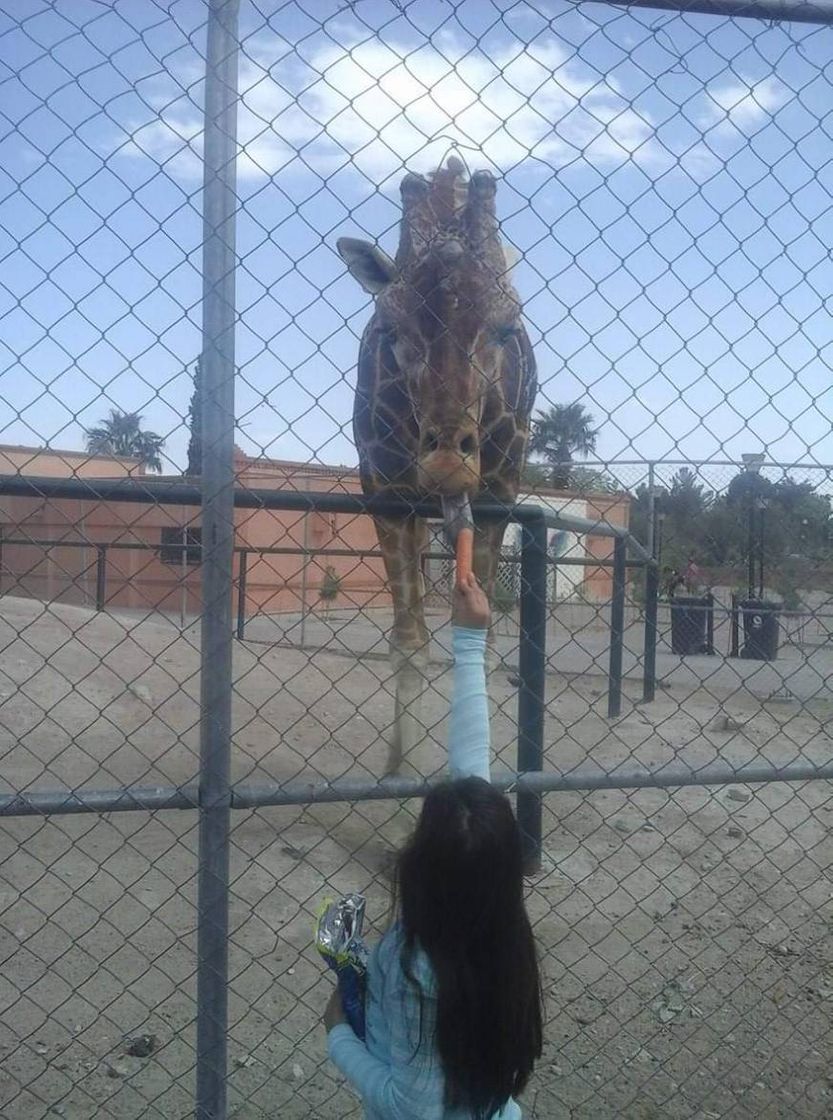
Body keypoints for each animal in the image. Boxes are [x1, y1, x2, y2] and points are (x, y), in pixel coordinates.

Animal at [340, 155, 539, 770]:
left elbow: (489, 645)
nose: (449, 462)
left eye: (507, 327)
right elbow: (409, 646)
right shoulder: (386, 494)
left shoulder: (498, 495)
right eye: (391, 328)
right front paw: (398, 776)